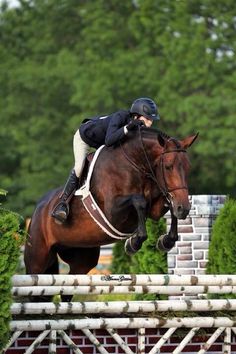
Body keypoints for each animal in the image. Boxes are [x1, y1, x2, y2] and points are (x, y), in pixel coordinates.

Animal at [24, 127, 197, 276]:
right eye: (168, 167)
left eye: (189, 167)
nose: (184, 209)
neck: (135, 163)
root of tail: (37, 210)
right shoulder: (112, 212)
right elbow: (139, 201)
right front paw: (134, 242)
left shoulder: (155, 208)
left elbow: (168, 204)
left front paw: (166, 241)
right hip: (38, 258)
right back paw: (60, 211)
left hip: (81, 256)